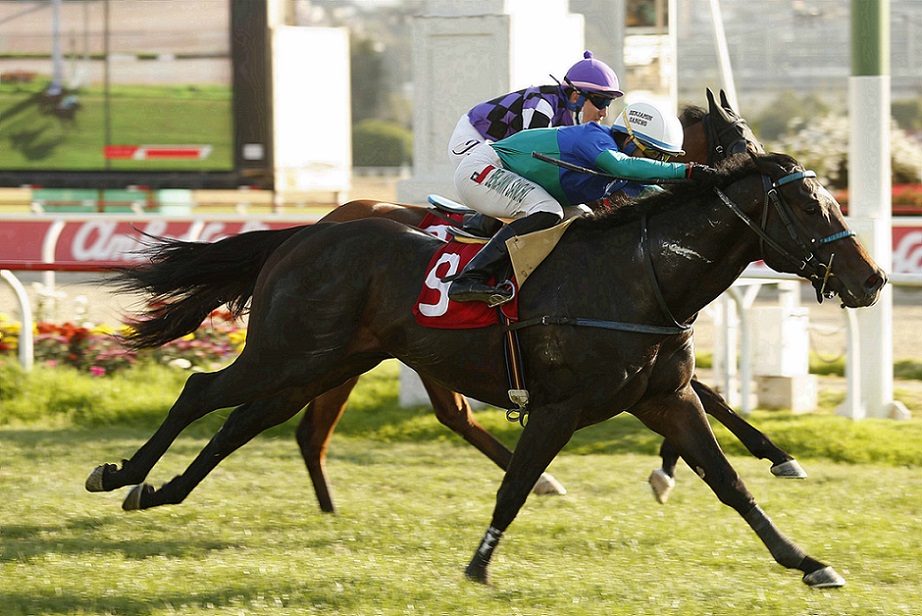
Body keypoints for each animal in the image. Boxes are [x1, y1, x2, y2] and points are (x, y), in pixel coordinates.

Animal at [87, 151, 886, 587]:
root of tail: (302, 235)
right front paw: (479, 565)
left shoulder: (667, 398)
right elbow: (517, 485)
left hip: (321, 362)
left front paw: (807, 559)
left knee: (246, 425)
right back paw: (120, 472)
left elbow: (729, 483)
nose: (873, 279)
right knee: (201, 391)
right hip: (284, 351)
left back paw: (157, 492)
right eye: (809, 204)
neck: (644, 276)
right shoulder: (562, 406)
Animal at [298, 88, 803, 511]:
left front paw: (751, 457)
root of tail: (332, 217)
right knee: (422, 414)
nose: (768, 170)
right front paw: (683, 469)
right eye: (733, 145)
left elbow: (702, 394)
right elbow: (708, 393)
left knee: (426, 416)